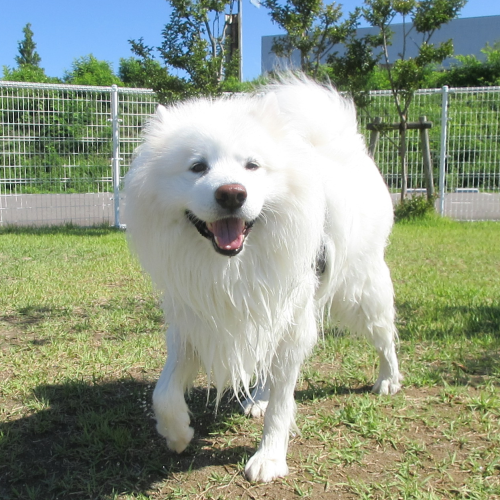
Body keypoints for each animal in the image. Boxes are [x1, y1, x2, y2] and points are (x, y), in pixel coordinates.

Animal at [123, 76, 402, 483]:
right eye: (197, 167)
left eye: (252, 165)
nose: (231, 194)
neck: (233, 266)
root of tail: (340, 148)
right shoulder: (192, 322)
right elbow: (164, 392)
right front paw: (177, 433)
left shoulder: (292, 324)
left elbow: (283, 406)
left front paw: (269, 457)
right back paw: (258, 398)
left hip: (360, 292)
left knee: (384, 337)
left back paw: (388, 380)